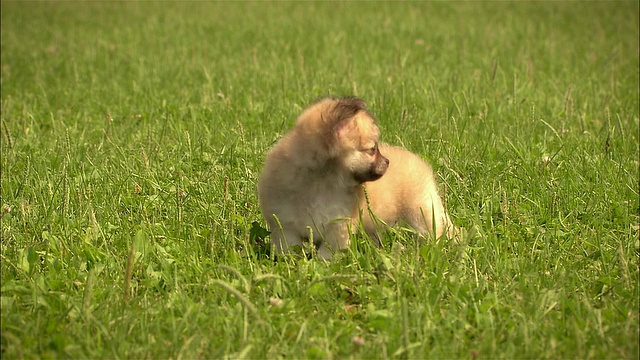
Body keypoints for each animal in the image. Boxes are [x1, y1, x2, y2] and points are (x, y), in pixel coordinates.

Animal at [258, 96, 458, 258]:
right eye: (372, 149)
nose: (387, 161)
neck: (321, 185)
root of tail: (421, 164)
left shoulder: (338, 228)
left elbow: (327, 254)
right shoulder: (285, 226)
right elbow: (289, 249)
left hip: (420, 212)